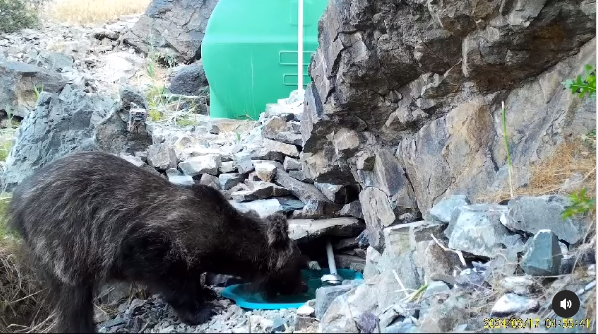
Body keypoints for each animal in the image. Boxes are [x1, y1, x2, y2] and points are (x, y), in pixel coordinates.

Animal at [8, 151, 310, 332]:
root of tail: (18, 203)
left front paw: (205, 293)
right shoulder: (149, 247)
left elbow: (192, 277)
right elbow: (172, 282)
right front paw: (197, 311)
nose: (305, 286)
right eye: (299, 264)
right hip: (66, 243)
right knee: (74, 301)